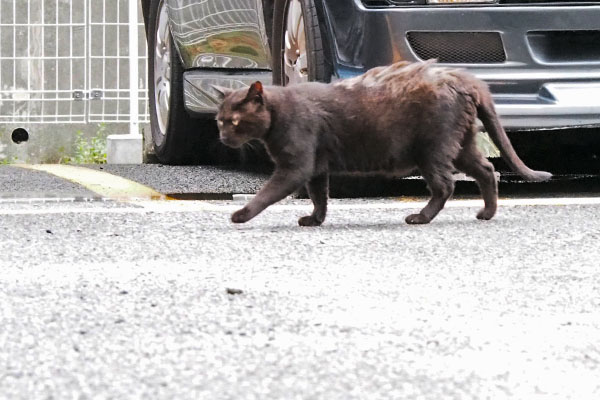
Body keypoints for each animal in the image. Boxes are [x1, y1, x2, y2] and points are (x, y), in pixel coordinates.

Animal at [213, 61, 552, 227]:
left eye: (234, 121)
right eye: (219, 120)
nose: (222, 137)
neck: (279, 112)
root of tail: (465, 78)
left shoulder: (295, 167)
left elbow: (267, 194)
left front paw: (240, 214)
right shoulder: (316, 168)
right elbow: (320, 196)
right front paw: (315, 220)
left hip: (433, 148)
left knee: (446, 185)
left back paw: (420, 218)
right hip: (461, 144)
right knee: (486, 169)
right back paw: (486, 213)